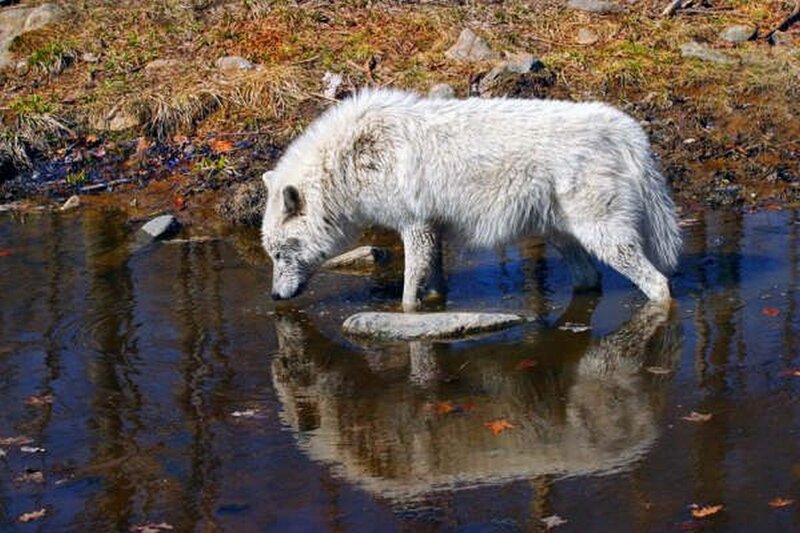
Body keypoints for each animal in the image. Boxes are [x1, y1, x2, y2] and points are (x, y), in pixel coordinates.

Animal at [260, 89, 682, 310]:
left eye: (281, 253)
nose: (275, 296)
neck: (352, 159)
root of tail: (626, 128)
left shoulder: (414, 226)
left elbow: (409, 292)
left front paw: (406, 314)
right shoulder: (432, 229)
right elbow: (434, 280)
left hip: (605, 238)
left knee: (659, 284)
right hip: (562, 235)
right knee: (590, 279)